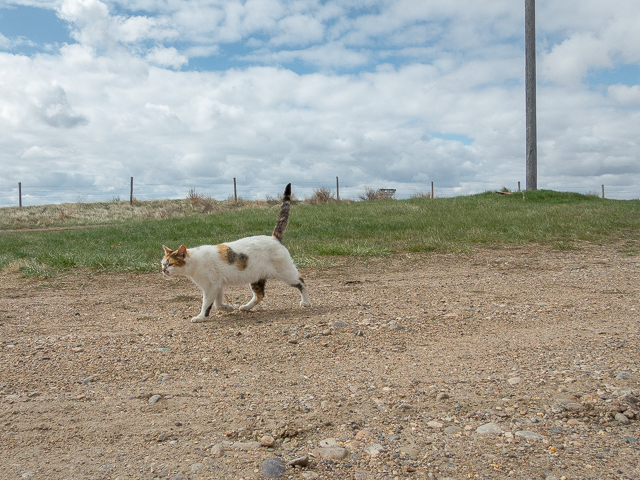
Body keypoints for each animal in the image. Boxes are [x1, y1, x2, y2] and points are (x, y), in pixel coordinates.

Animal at [160, 184, 310, 322]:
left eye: (170, 264)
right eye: (163, 264)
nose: (164, 271)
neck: (195, 261)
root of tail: (274, 238)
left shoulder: (210, 287)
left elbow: (206, 304)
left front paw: (201, 317)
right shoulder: (217, 286)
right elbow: (217, 304)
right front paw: (228, 308)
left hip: (286, 273)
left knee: (301, 282)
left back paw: (306, 302)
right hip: (256, 278)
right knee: (260, 295)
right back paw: (246, 307)